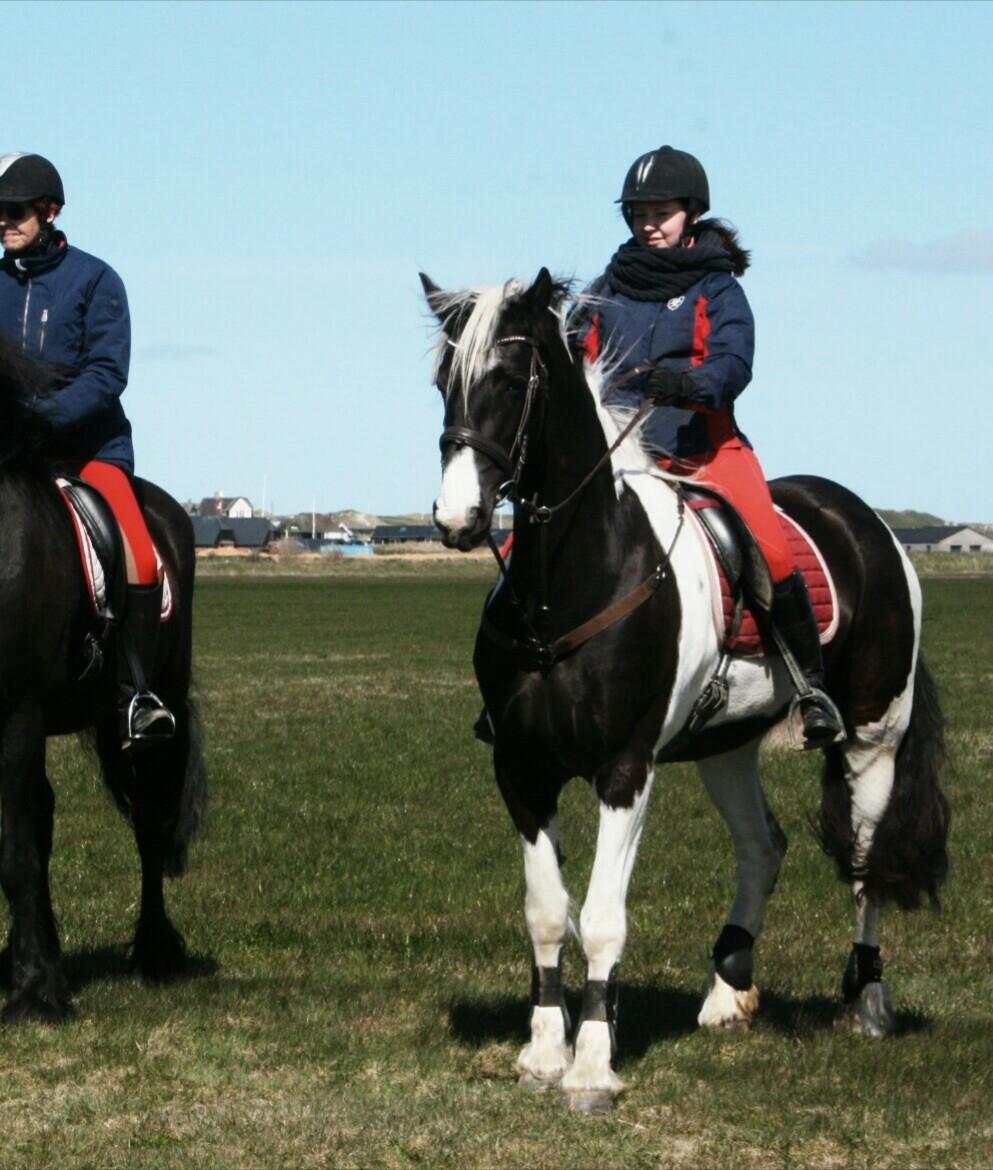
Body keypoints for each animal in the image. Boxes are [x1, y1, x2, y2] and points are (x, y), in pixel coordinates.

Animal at [0, 334, 205, 1020]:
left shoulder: (16, 714)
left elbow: (14, 852)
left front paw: (36, 995)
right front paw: (37, 974)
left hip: (158, 708)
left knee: (150, 823)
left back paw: (155, 953)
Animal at [418, 269, 945, 1109]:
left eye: (506, 379)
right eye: (444, 382)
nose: (456, 516)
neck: (567, 583)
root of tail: (867, 524)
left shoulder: (624, 770)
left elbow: (601, 915)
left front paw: (592, 1067)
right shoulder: (522, 771)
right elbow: (545, 911)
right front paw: (543, 1052)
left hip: (872, 737)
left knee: (865, 862)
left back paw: (865, 1002)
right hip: (723, 745)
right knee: (763, 846)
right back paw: (728, 989)